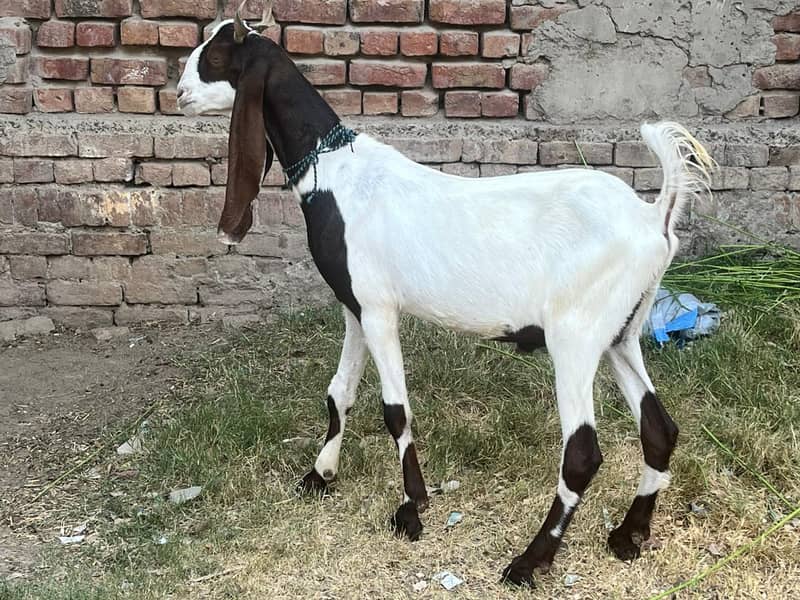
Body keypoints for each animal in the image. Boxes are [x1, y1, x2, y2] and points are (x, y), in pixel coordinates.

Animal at [177, 4, 714, 587]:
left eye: (216, 57)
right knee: (659, 429)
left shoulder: (379, 310)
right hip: (621, 333)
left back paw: (531, 560)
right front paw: (319, 476)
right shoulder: (354, 307)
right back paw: (628, 535)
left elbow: (395, 409)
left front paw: (411, 509)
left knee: (583, 453)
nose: (179, 93)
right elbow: (338, 393)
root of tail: (654, 216)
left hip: (575, 335)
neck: (338, 174)